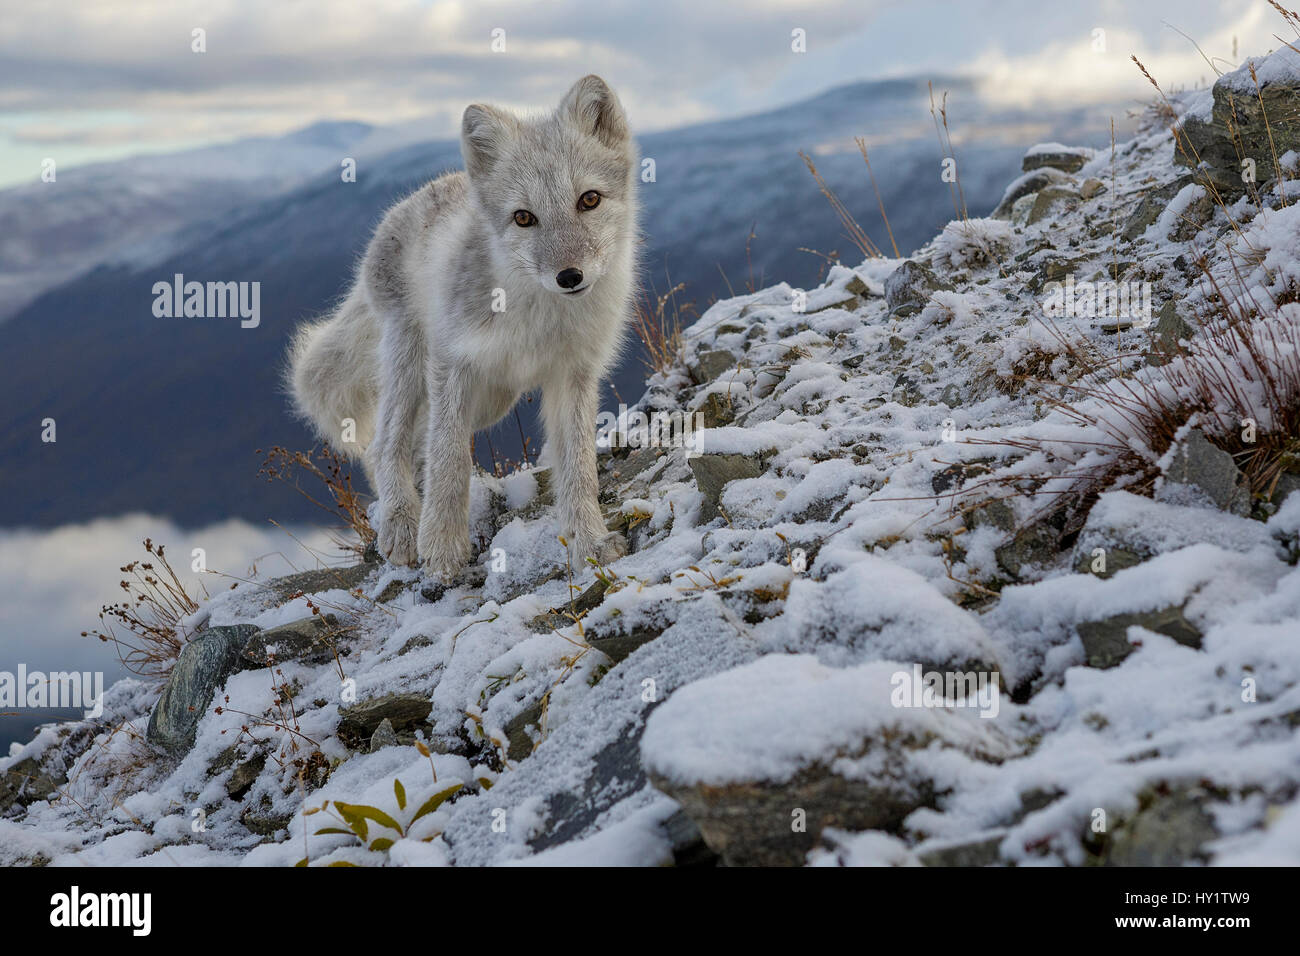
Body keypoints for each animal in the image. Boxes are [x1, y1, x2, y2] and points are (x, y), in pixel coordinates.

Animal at [287, 74, 637, 580]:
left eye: (589, 199)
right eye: (524, 217)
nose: (569, 277)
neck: (536, 315)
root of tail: (411, 201)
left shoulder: (572, 375)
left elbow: (578, 469)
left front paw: (589, 542)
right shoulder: (453, 363)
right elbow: (449, 460)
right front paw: (442, 548)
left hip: (493, 398)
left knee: (413, 447)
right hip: (413, 365)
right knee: (385, 445)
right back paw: (400, 524)